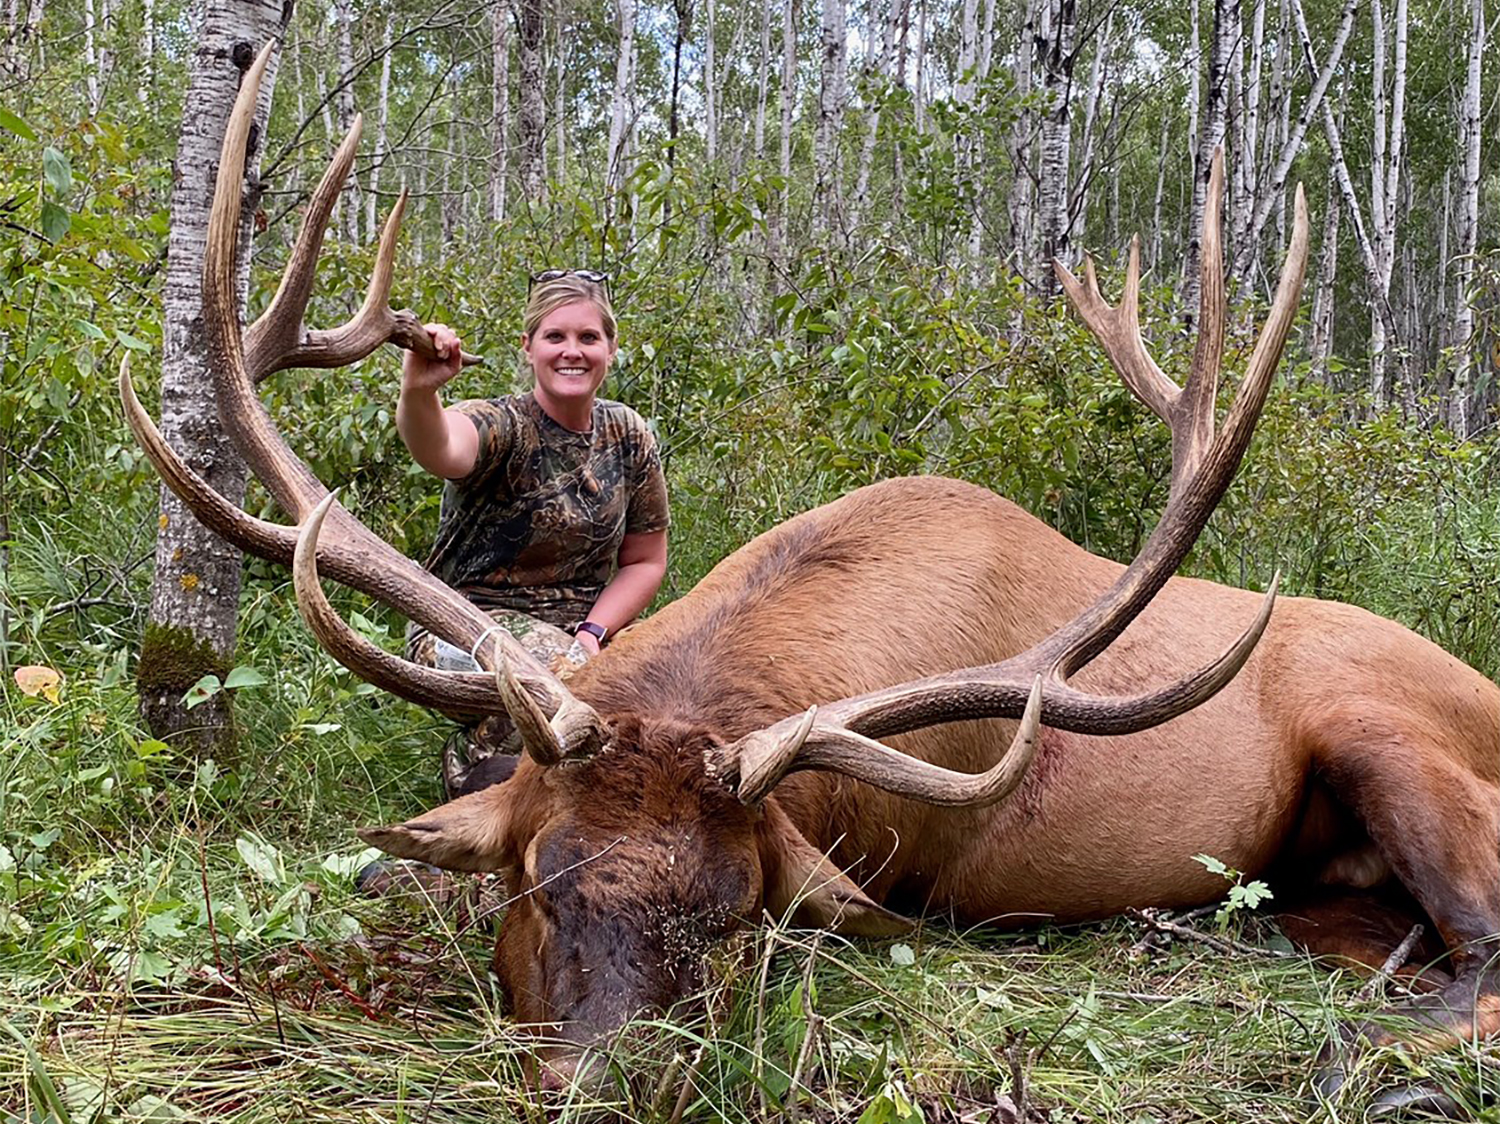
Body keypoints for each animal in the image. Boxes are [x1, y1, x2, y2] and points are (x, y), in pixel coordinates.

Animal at [129, 41, 1500, 1104]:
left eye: (738, 916)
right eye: (535, 878)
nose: (605, 1081)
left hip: (1386, 732)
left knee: (1481, 948)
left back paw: (1363, 1058)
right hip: (1321, 885)